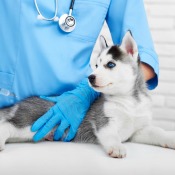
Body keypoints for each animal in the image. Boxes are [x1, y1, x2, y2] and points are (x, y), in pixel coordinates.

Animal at [0, 31, 175, 159]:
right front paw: (117, 147)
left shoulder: (139, 130)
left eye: (110, 64)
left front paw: (170, 138)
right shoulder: (104, 122)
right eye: (96, 65)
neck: (130, 101)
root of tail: (19, 104)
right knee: (6, 125)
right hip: (30, 124)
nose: (90, 77)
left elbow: (158, 132)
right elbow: (111, 135)